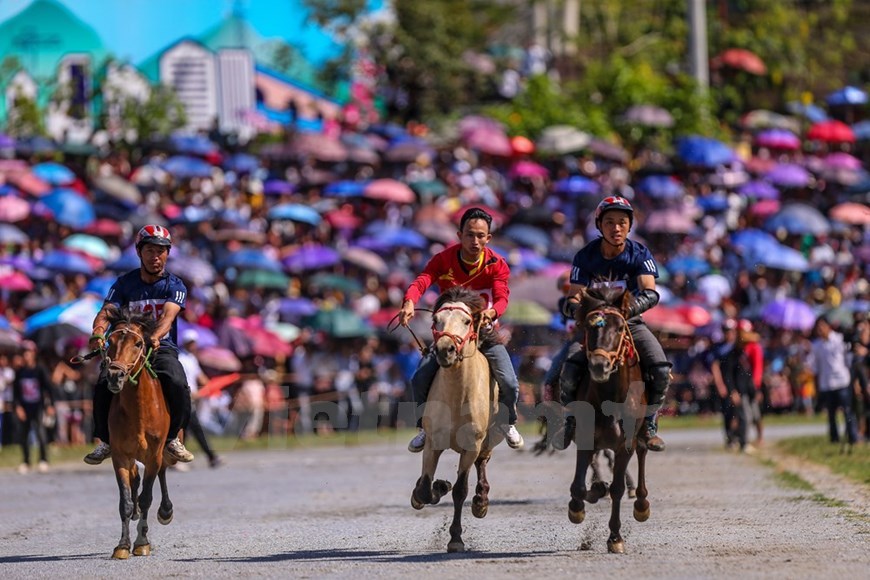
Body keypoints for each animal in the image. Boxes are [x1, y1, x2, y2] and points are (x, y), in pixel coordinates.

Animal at [104, 306, 175, 560]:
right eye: (110, 341)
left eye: (137, 343)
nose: (115, 375)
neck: (139, 412)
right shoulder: (120, 456)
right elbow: (124, 501)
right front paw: (122, 545)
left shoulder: (153, 455)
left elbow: (146, 498)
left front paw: (142, 542)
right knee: (135, 478)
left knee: (162, 471)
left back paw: (165, 510)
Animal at [414, 286, 508, 552]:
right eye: (436, 320)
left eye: (467, 321)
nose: (445, 349)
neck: (457, 395)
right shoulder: (433, 443)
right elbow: (424, 489)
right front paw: (437, 487)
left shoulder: (471, 446)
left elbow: (460, 491)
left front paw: (455, 538)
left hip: (488, 440)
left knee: (482, 463)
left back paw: (481, 501)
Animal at [568, 288, 652, 556]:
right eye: (589, 327)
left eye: (620, 327)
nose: (599, 365)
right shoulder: (586, 439)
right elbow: (579, 486)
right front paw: (580, 505)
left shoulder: (625, 444)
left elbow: (617, 488)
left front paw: (615, 537)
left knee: (643, 452)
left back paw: (641, 503)